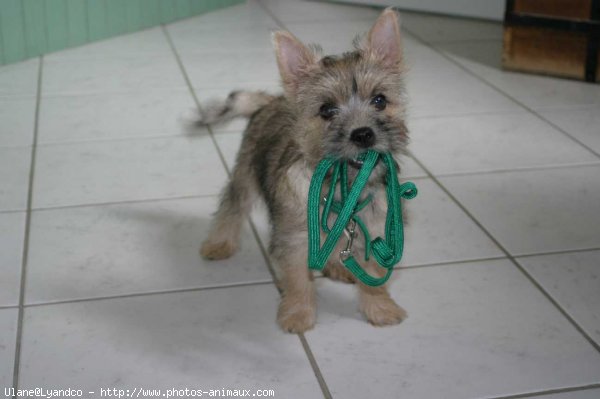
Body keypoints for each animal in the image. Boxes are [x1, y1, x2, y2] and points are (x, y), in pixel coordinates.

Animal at [199, 9, 410, 334]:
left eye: (379, 100)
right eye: (326, 110)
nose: (363, 134)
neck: (343, 188)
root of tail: (272, 100)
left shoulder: (376, 233)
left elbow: (373, 278)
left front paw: (380, 309)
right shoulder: (294, 240)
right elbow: (298, 280)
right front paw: (297, 315)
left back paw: (338, 267)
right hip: (244, 175)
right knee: (231, 208)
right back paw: (219, 244)